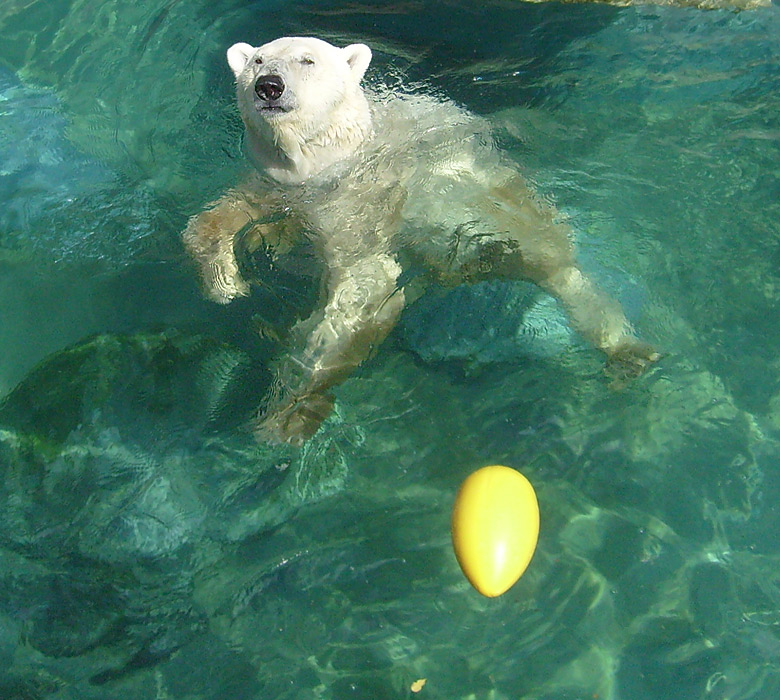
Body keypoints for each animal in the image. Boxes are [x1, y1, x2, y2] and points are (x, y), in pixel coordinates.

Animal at [183, 35, 660, 446]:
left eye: (308, 60)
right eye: (258, 60)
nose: (269, 86)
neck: (329, 157)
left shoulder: (361, 199)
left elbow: (363, 287)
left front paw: (288, 409)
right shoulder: (276, 182)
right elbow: (215, 218)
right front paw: (225, 283)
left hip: (493, 203)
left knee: (553, 264)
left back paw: (627, 351)